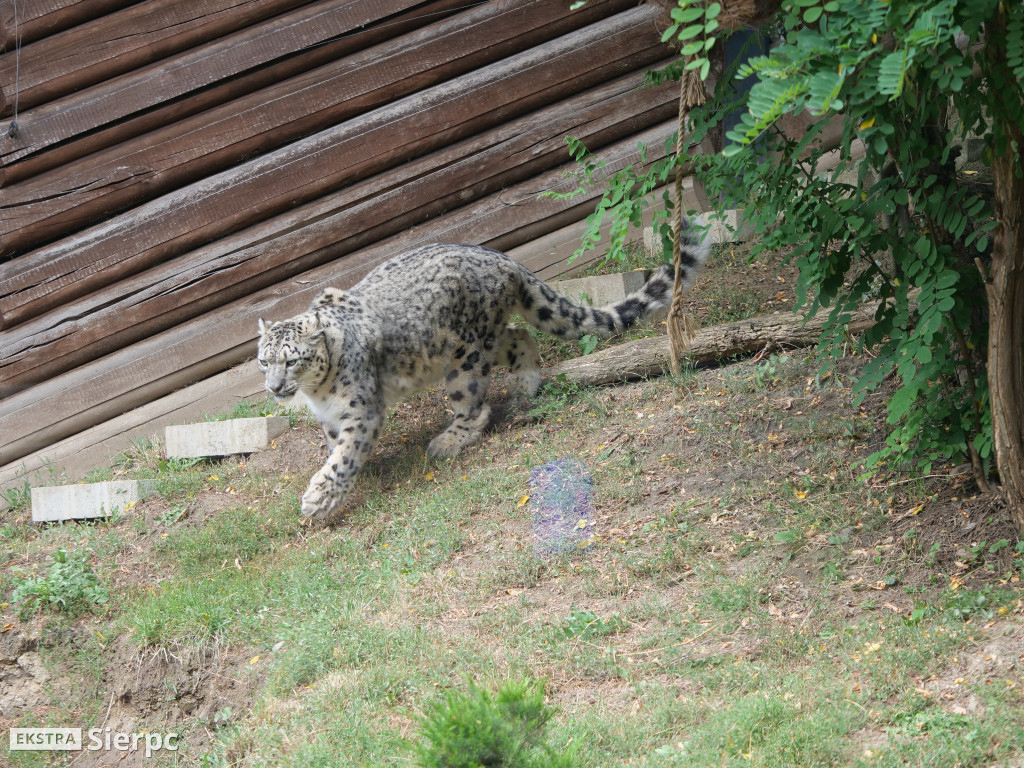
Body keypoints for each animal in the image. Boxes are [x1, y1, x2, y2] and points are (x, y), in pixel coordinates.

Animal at [256, 218, 708, 518]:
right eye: (264, 361)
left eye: (291, 360)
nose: (274, 388)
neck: (318, 392)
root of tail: (501, 258)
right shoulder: (329, 415)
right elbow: (337, 446)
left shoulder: (360, 409)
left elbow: (346, 454)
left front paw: (318, 497)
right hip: (477, 341)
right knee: (519, 337)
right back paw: (525, 385)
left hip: (465, 358)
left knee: (474, 403)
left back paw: (447, 440)